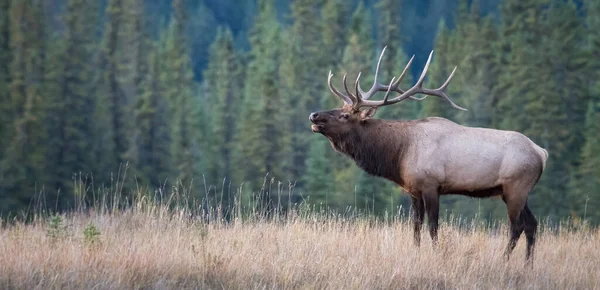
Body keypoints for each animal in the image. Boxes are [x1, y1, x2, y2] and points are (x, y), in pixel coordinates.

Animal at [312, 47, 552, 262]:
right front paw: (416, 253)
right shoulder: (413, 190)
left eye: (344, 115)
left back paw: (504, 260)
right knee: (532, 224)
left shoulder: (431, 185)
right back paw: (527, 265)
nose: (314, 115)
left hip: (515, 187)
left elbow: (433, 226)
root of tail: (542, 153)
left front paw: (436, 255)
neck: (399, 153)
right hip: (516, 191)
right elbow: (416, 226)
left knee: (517, 226)